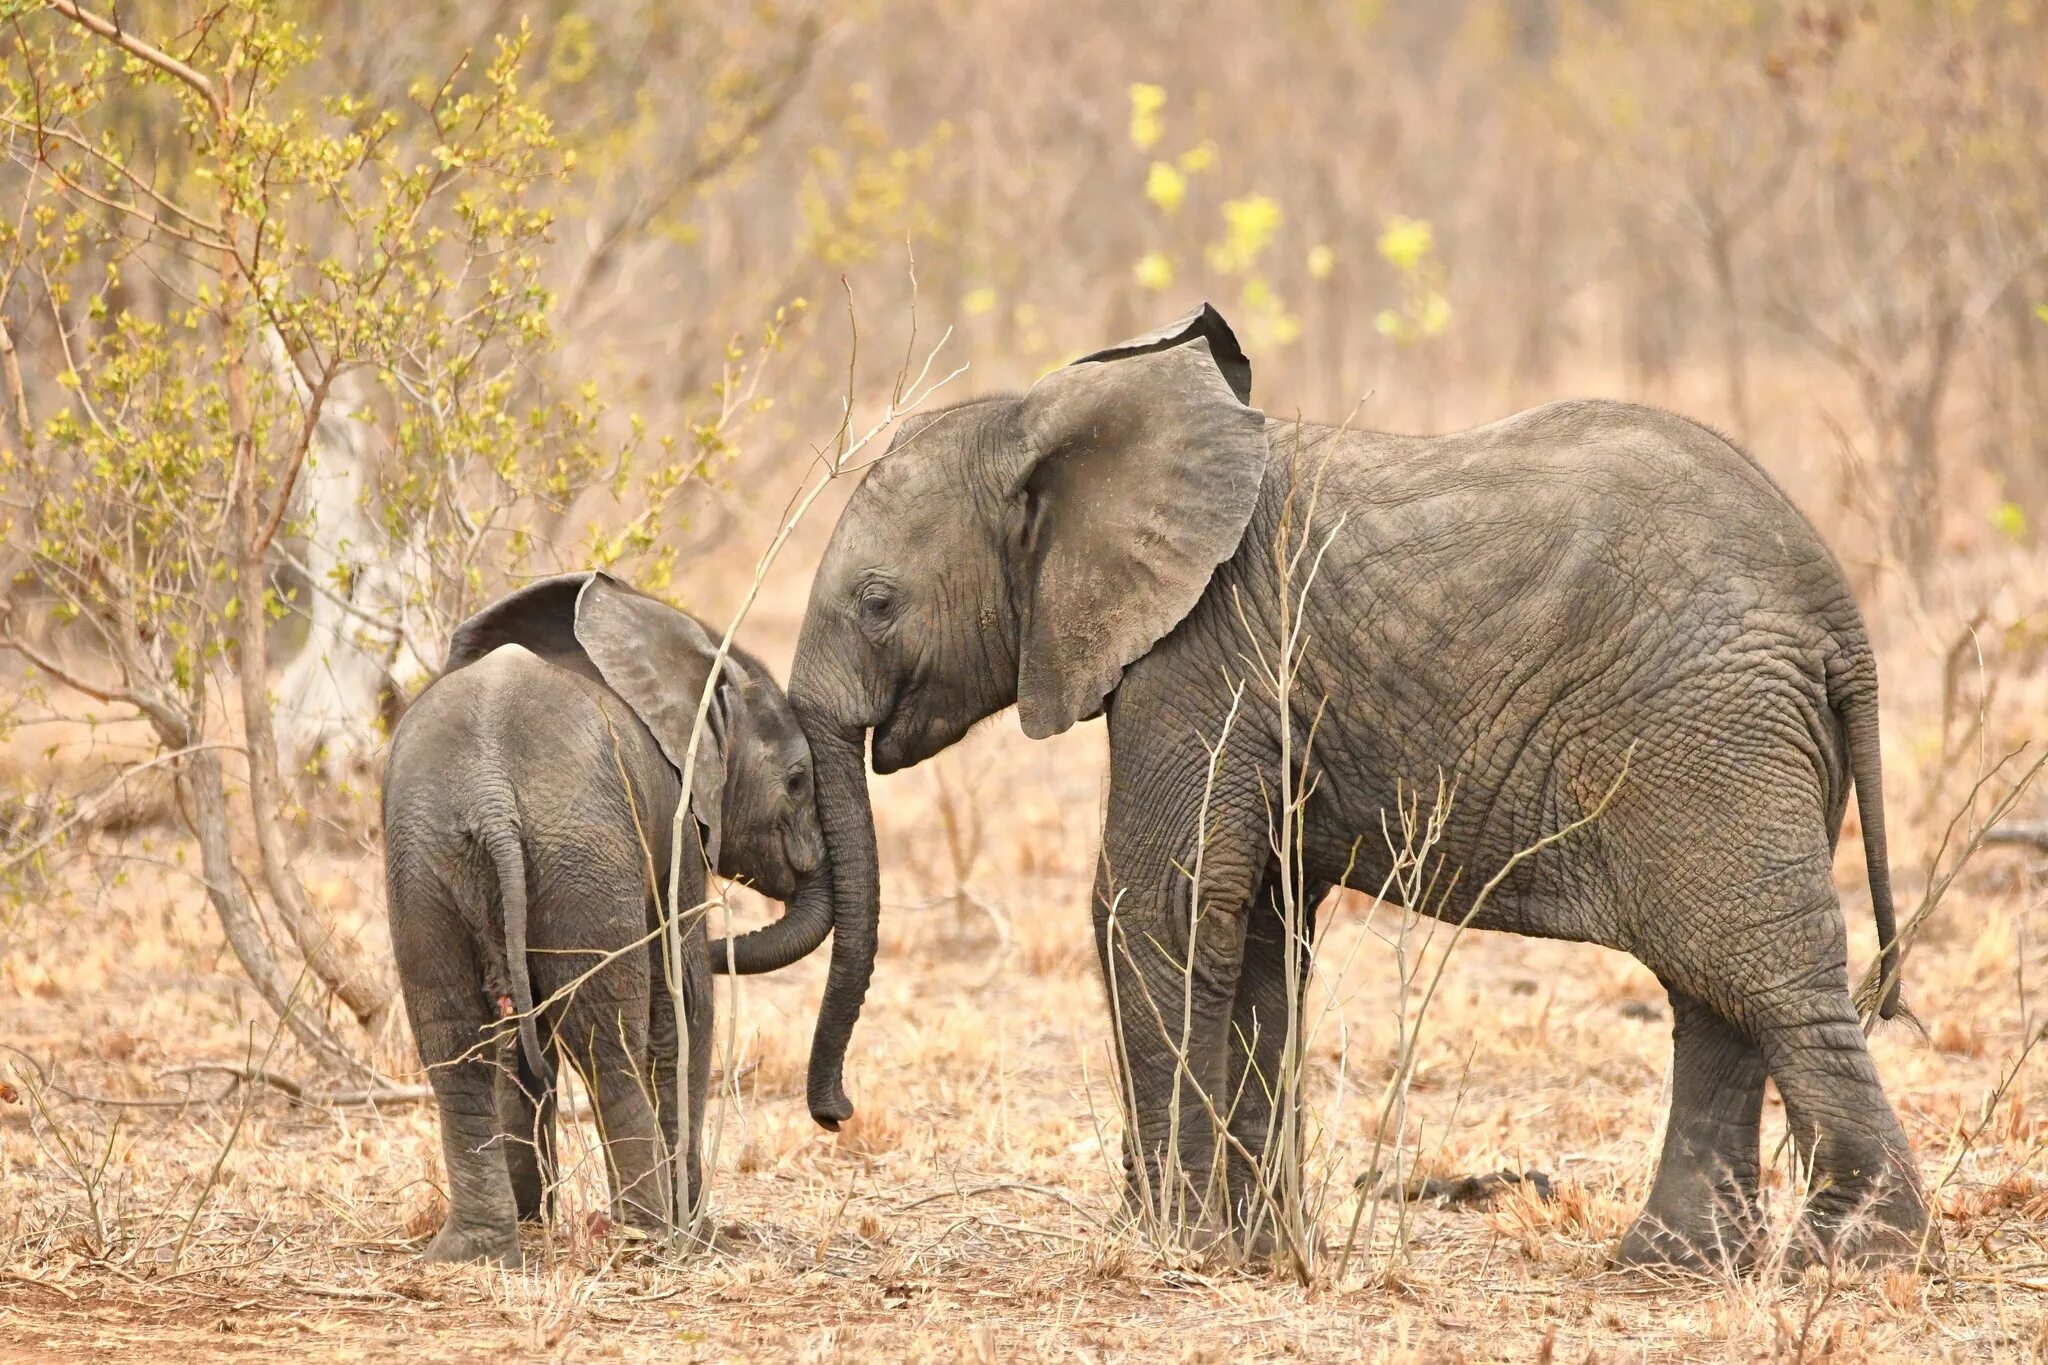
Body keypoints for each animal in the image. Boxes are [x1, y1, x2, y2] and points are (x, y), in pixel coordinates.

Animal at [385, 573, 831, 1268]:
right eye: (797, 780)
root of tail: (489, 795)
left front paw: (532, 1217)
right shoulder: (675, 820)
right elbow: (684, 997)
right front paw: (698, 1229)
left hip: (426, 858)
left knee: (454, 1038)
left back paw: (476, 1253)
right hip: (579, 852)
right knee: (605, 1037)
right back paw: (649, 1236)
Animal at [790, 306, 1925, 1268]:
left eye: (878, 602)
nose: (836, 1113)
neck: (1054, 425)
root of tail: (1841, 617)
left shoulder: (1200, 658)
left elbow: (1156, 903)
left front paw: (1171, 1247)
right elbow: (1254, 931)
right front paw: (1250, 1253)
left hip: (1709, 734)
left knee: (1763, 977)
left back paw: (1857, 1259)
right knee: (1713, 991)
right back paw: (1669, 1266)